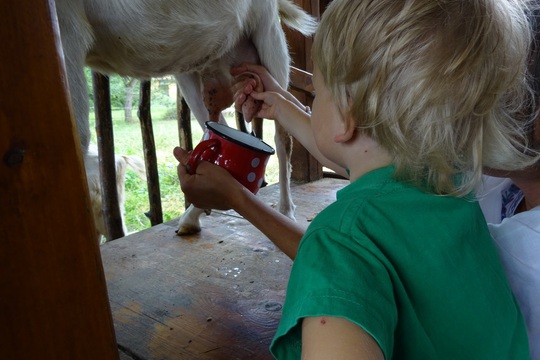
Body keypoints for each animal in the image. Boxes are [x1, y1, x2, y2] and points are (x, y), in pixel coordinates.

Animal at [54, 0, 316, 236]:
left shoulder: (67, 29)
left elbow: (78, 135)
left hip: (268, 34)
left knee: (283, 137)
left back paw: (285, 210)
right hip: (191, 68)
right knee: (216, 124)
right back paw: (192, 216)